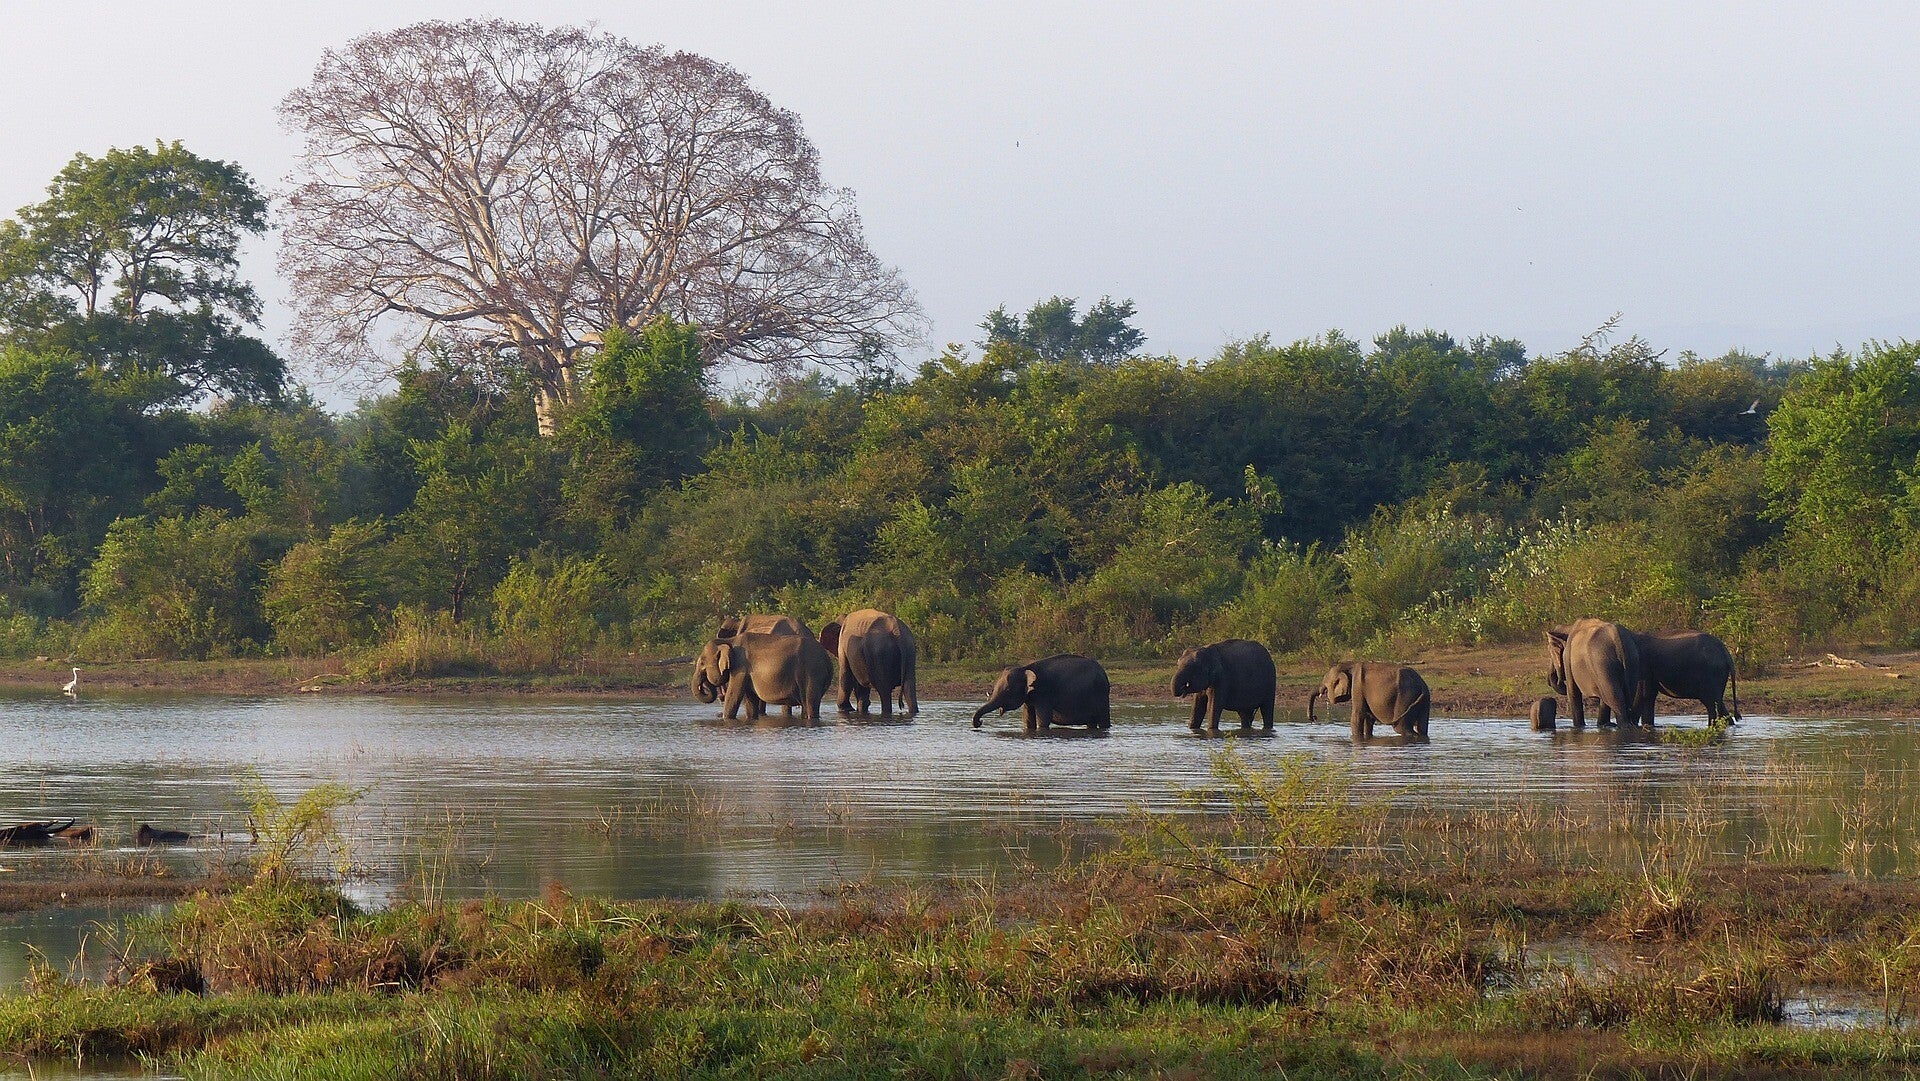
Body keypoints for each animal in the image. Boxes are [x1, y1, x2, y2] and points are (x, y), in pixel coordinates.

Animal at [703, 631, 835, 723]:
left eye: (702, 663)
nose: (719, 696)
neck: (730, 640)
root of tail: (827, 658)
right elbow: (750, 699)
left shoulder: (740, 666)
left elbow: (733, 695)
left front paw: (726, 719)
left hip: (812, 672)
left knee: (810, 703)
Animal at [972, 654, 1111, 732]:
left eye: (1007, 691)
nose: (980, 723)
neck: (1025, 668)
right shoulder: (1029, 697)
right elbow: (1028, 720)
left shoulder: (1044, 694)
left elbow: (1043, 720)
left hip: (1101, 694)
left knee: (1103, 720)